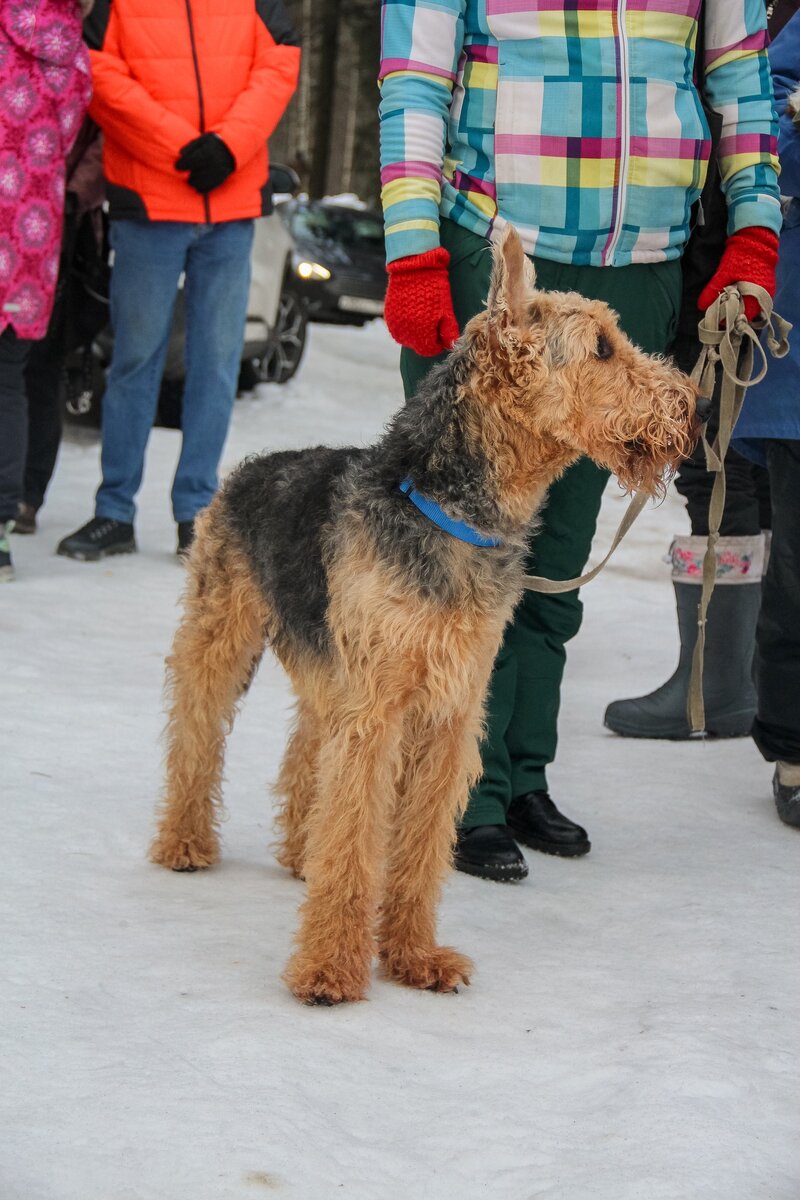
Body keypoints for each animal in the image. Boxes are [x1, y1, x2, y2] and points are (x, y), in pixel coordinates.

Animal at [149, 223, 700, 1003]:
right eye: (600, 347)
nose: (695, 404)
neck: (451, 510)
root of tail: (252, 464)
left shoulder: (447, 711)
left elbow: (415, 849)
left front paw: (414, 956)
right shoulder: (377, 711)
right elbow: (357, 834)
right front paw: (330, 969)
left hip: (329, 672)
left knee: (304, 754)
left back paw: (300, 852)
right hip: (220, 636)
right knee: (195, 736)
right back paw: (185, 842)